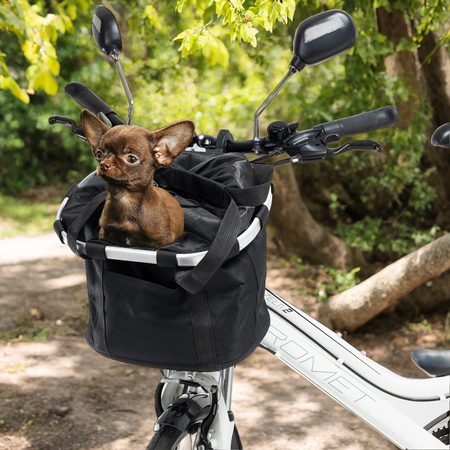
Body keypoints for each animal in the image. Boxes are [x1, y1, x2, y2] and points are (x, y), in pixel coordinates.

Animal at [81, 110, 194, 250]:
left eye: (132, 159)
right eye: (99, 154)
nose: (103, 164)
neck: (125, 197)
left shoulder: (162, 241)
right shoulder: (105, 233)